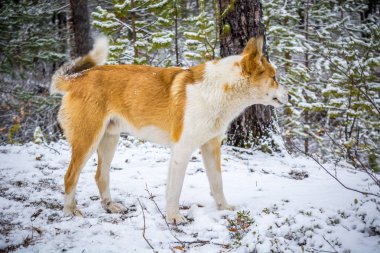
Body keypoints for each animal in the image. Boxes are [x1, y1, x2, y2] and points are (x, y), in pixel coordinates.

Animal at [50, 36, 288, 223]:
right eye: (274, 77)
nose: (290, 96)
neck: (217, 91)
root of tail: (76, 78)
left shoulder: (211, 147)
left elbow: (217, 184)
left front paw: (223, 208)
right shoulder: (182, 151)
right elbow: (175, 190)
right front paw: (174, 217)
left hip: (109, 140)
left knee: (101, 176)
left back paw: (110, 205)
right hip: (87, 141)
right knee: (70, 176)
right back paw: (70, 211)